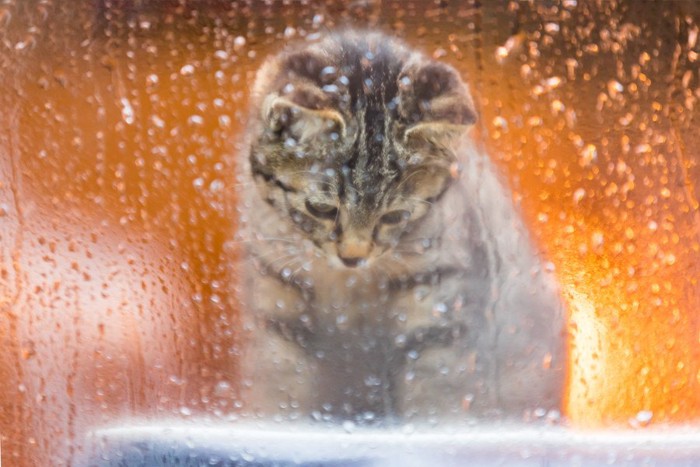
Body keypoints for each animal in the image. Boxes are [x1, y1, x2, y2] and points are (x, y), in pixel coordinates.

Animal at [232, 27, 568, 426]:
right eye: (321, 208)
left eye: (394, 216)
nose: (353, 258)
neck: (350, 287)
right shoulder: (277, 305)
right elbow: (280, 393)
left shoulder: (439, 313)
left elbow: (438, 402)